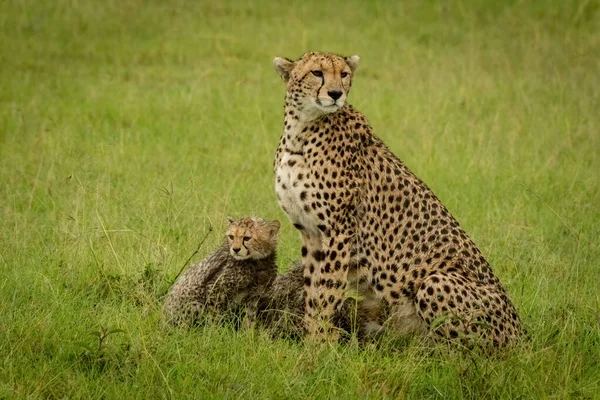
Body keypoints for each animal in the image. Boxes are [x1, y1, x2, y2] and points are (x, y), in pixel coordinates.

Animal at [274, 51, 524, 346]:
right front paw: (314, 340)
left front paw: (321, 344)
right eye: (317, 73)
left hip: (435, 282)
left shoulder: (339, 230)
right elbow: (314, 290)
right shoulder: (310, 232)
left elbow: (327, 290)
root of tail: (524, 335)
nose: (336, 94)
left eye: (344, 74)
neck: (301, 129)